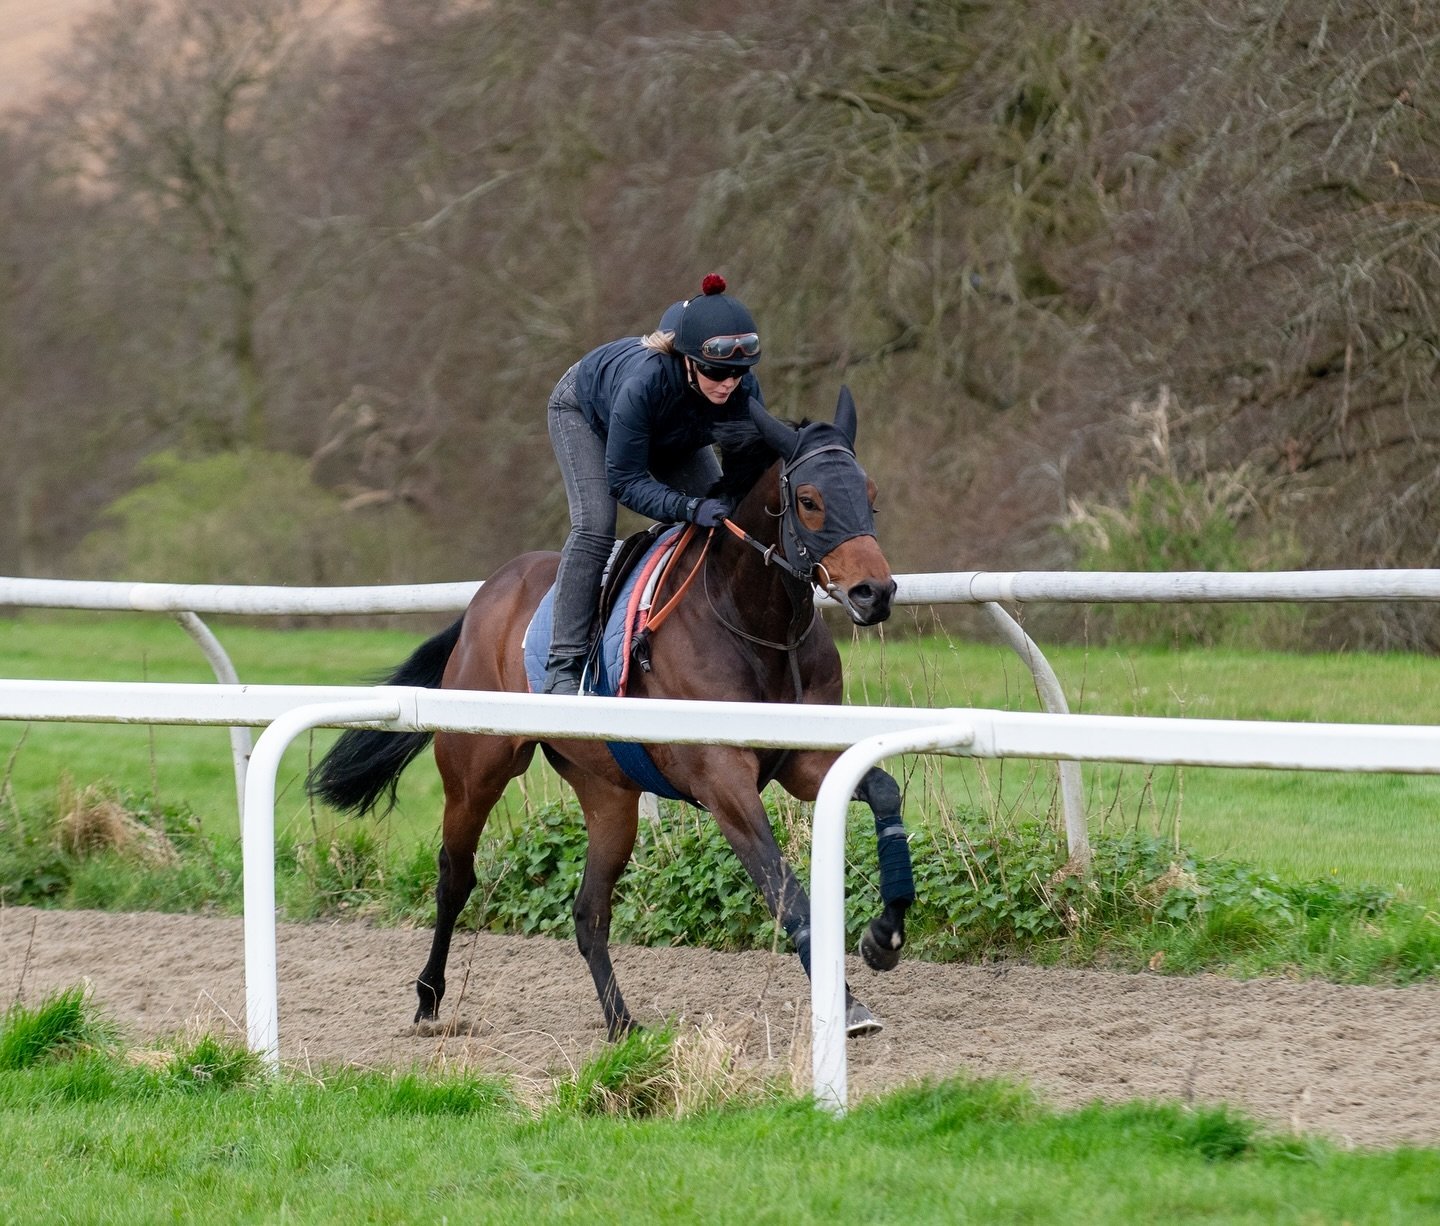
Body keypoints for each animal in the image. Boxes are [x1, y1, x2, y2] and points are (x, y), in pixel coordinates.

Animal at [309, 388, 915, 1043]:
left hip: (608, 795)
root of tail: (482, 600)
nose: (875, 593)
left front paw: (884, 936)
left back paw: (621, 1022)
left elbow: (884, 790)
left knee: (587, 911)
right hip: (476, 773)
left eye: (871, 494)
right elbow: (783, 888)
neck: (754, 624)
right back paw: (428, 999)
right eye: (809, 500)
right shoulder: (723, 780)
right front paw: (848, 1006)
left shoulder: (803, 757)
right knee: (455, 878)